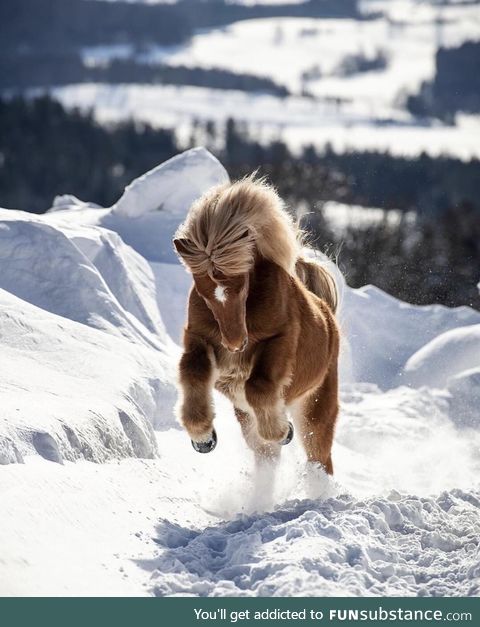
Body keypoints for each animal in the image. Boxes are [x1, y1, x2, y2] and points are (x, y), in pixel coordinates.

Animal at [173, 175, 342, 476]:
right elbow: (192, 372)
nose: (234, 343)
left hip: (315, 409)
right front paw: (203, 437)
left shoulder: (280, 341)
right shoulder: (199, 339)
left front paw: (282, 431)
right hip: (247, 418)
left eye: (242, 285)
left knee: (320, 458)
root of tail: (327, 314)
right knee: (266, 455)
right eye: (203, 292)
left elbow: (259, 386)